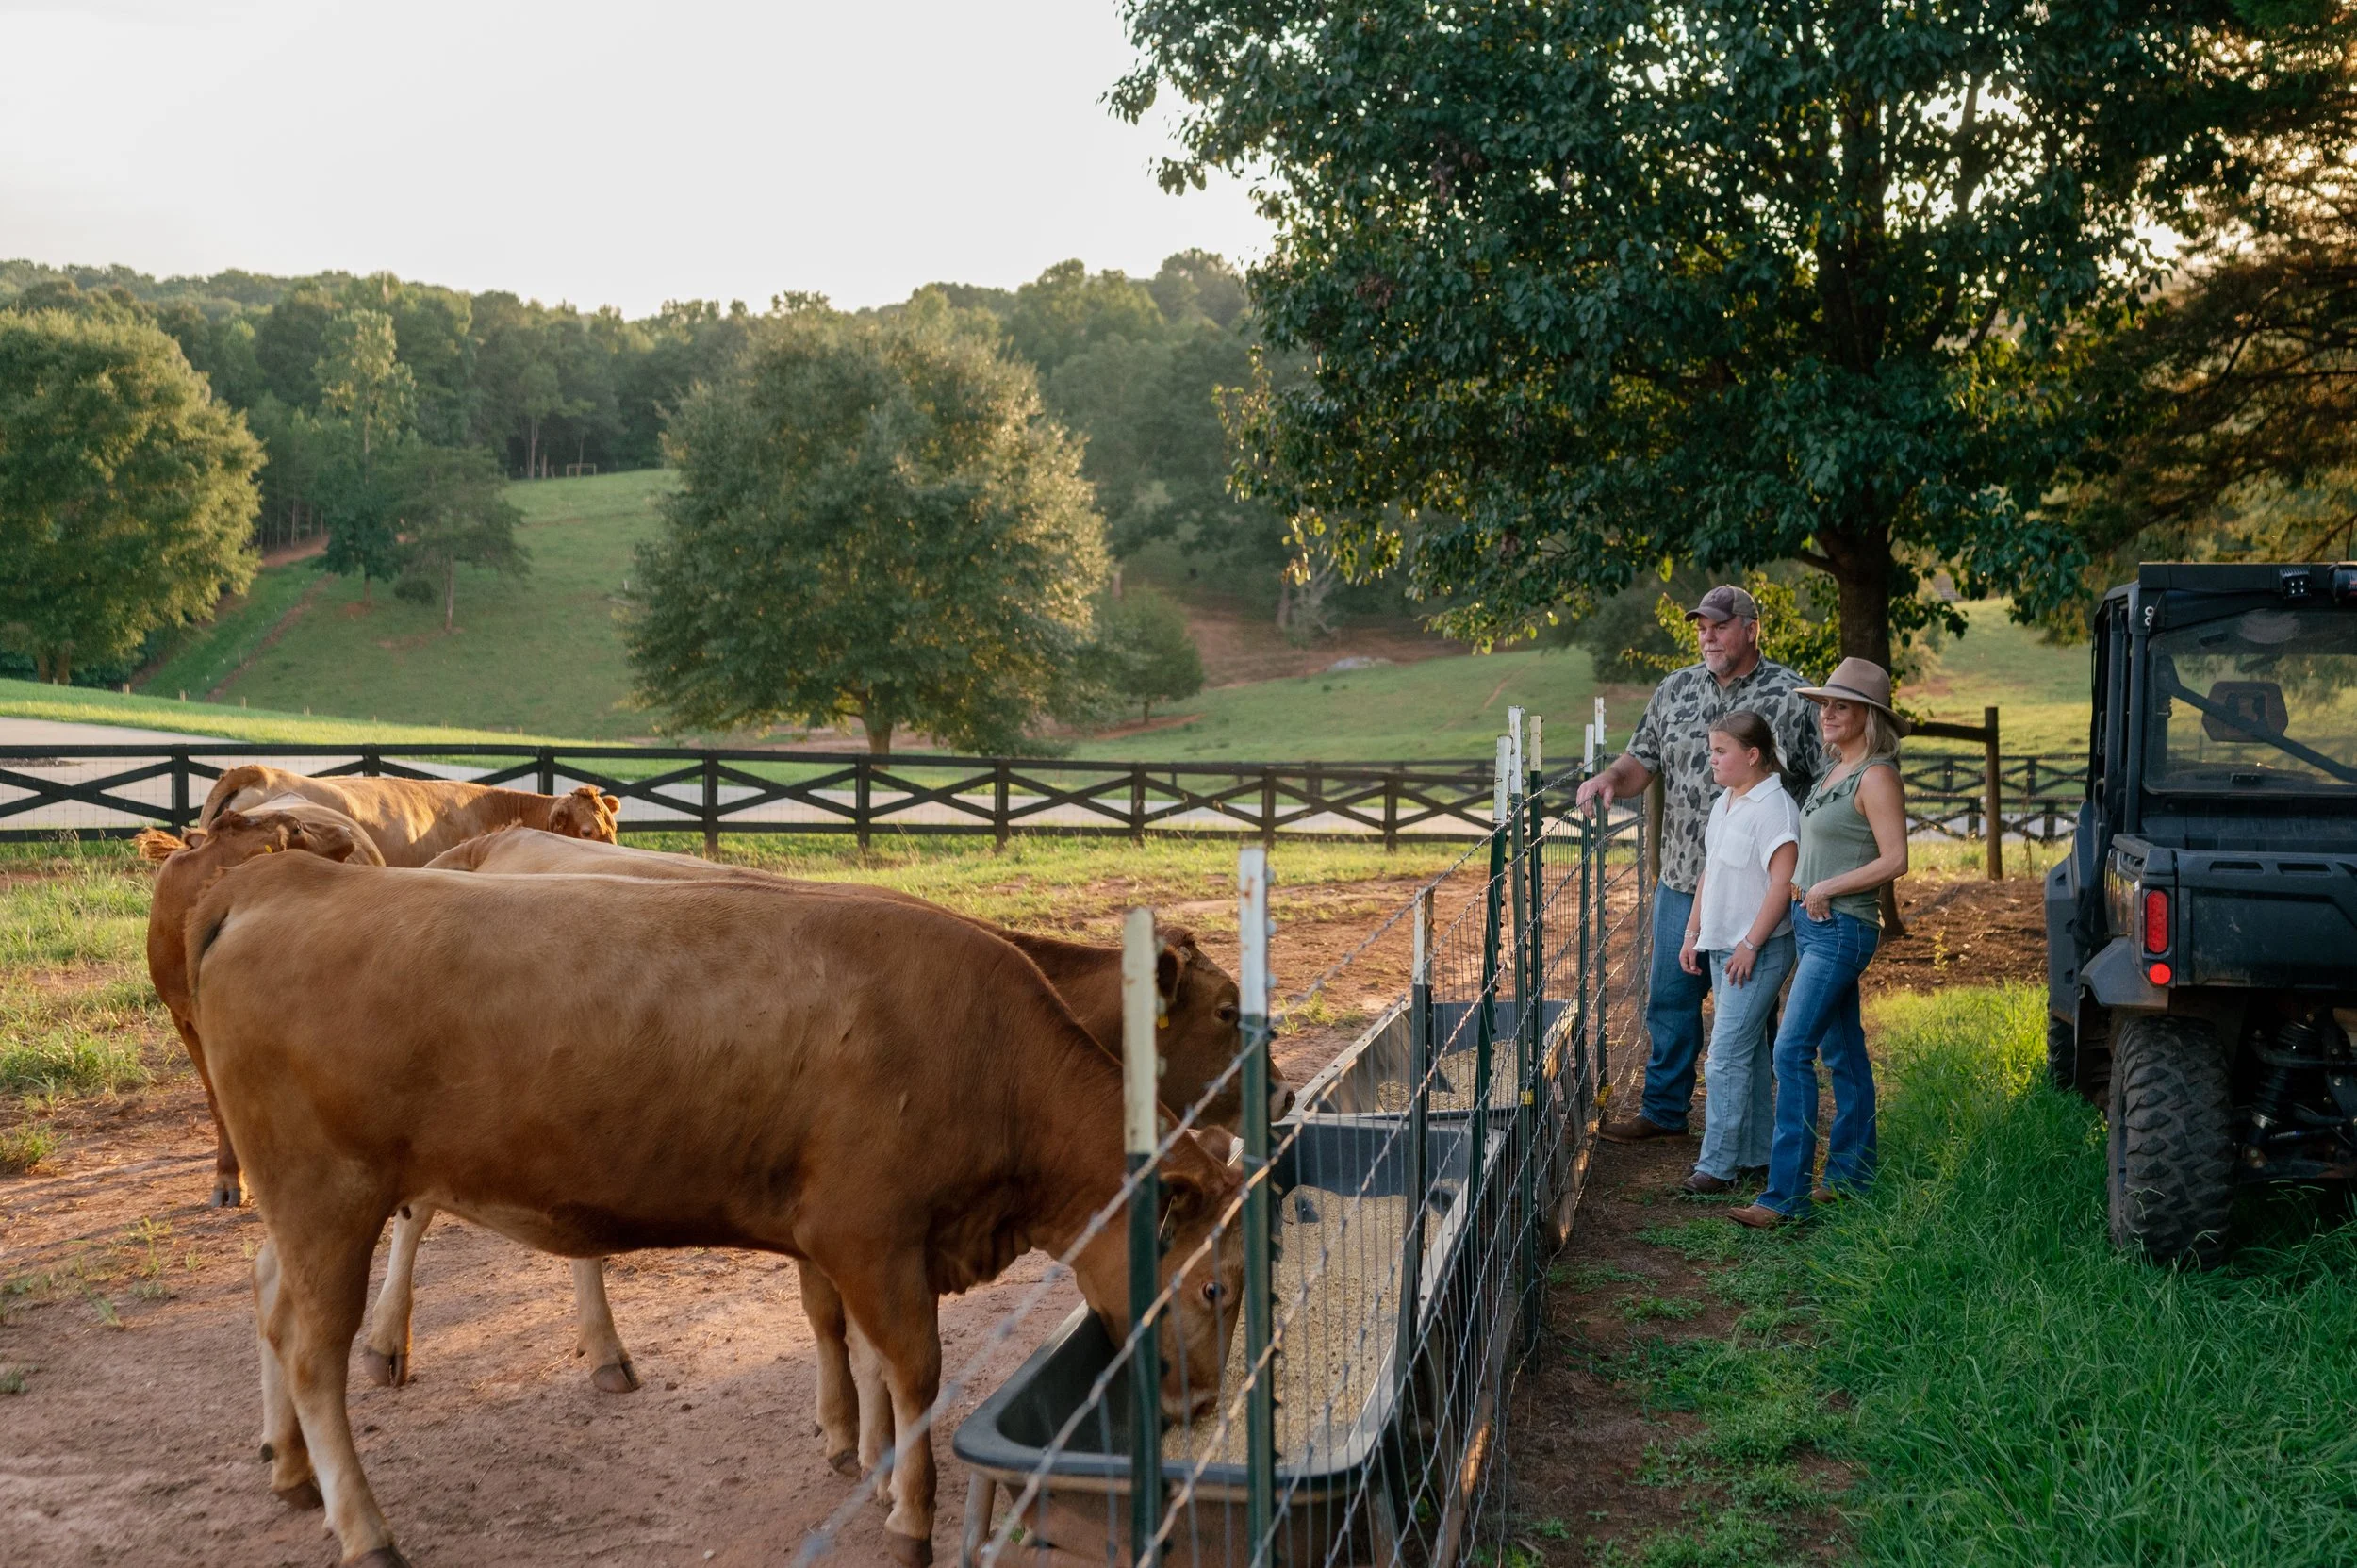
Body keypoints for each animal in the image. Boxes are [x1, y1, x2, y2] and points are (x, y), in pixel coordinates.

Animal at [186, 855, 1245, 1566]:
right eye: (1219, 1288)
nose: (1198, 1407)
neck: (988, 1055)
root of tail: (288, 876)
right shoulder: (869, 1233)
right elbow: (913, 1370)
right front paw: (908, 1514)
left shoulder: (854, 1239)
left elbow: (859, 1350)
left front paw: (862, 1461)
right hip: (329, 1192)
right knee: (313, 1349)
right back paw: (364, 1524)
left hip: (308, 1204)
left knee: (270, 1296)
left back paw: (289, 1469)